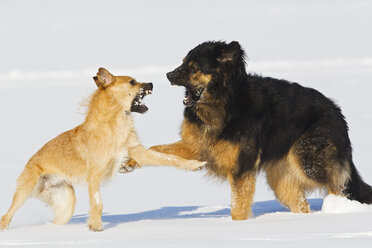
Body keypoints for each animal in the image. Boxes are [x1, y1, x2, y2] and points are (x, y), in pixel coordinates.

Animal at [0, 68, 205, 231]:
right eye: (132, 81)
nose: (152, 83)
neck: (113, 124)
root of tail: (30, 162)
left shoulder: (138, 151)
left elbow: (170, 159)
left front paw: (194, 165)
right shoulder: (94, 175)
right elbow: (97, 203)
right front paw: (96, 226)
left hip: (66, 203)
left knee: (57, 221)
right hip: (25, 191)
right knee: (6, 216)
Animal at [145, 41, 372, 221]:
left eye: (193, 68)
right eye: (183, 62)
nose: (168, 75)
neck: (223, 101)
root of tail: (337, 112)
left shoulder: (241, 168)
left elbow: (238, 204)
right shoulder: (196, 148)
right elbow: (158, 149)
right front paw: (139, 157)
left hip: (308, 162)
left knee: (339, 187)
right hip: (282, 179)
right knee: (302, 204)